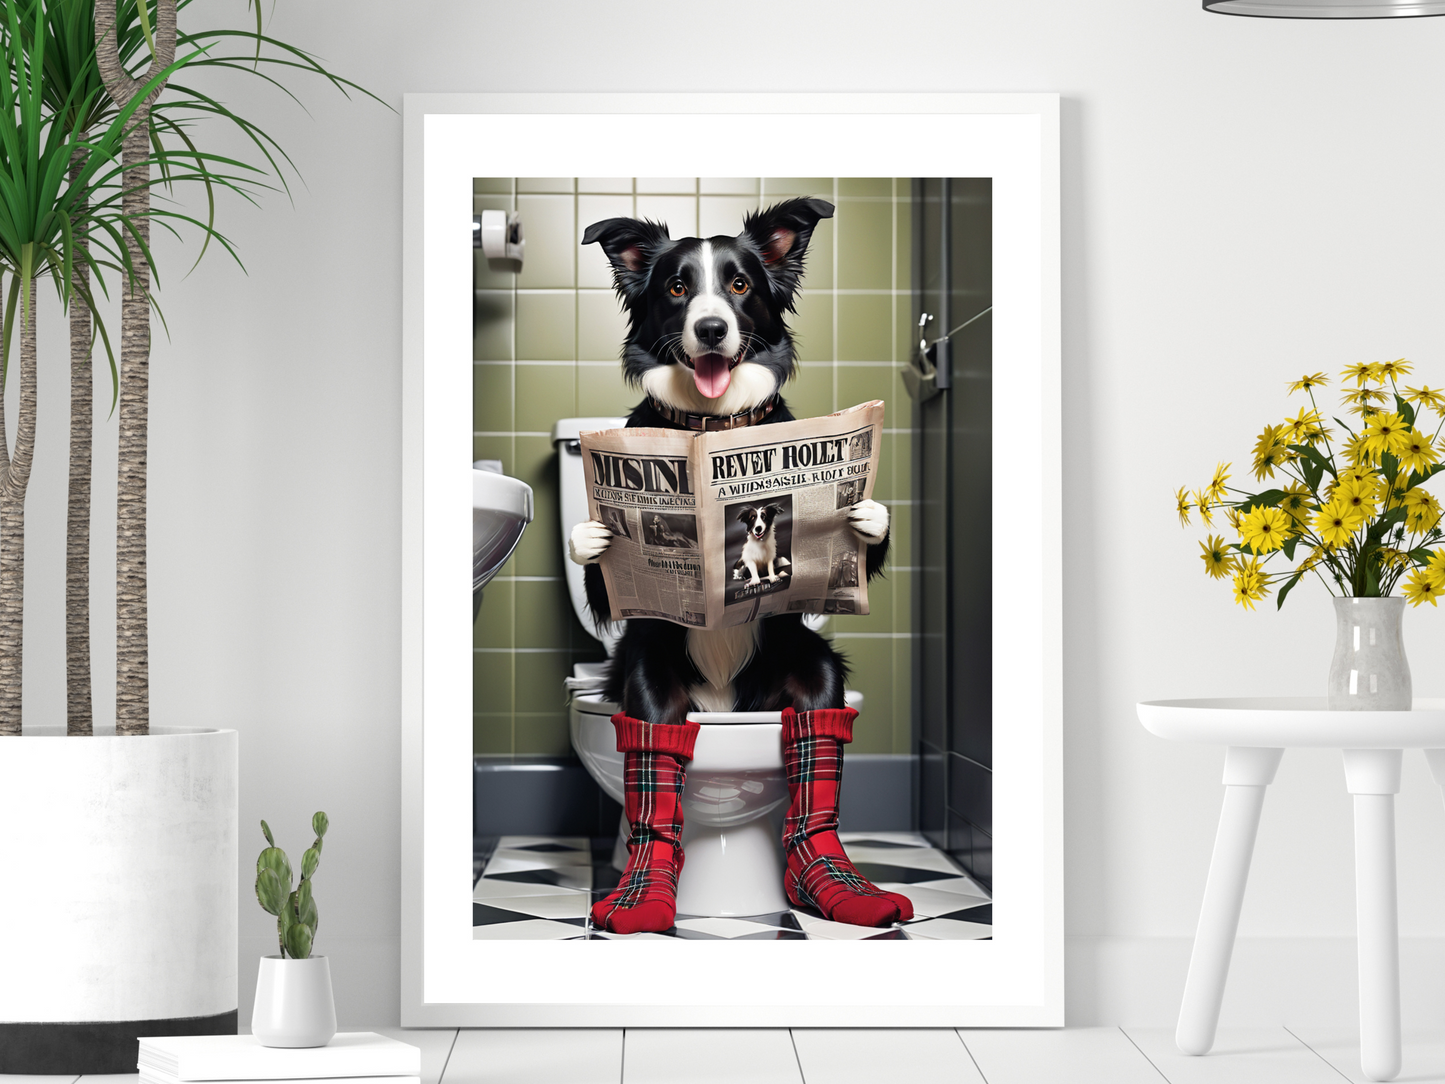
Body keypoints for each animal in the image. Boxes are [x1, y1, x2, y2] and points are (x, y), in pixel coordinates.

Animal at [560, 198, 907, 936]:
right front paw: (594, 532)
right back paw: (644, 892)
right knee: (655, 739)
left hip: (805, 672)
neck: (712, 429)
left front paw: (865, 515)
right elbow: (601, 571)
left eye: (740, 284)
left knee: (817, 720)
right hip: (652, 680)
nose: (712, 327)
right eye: (676, 287)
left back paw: (832, 881)